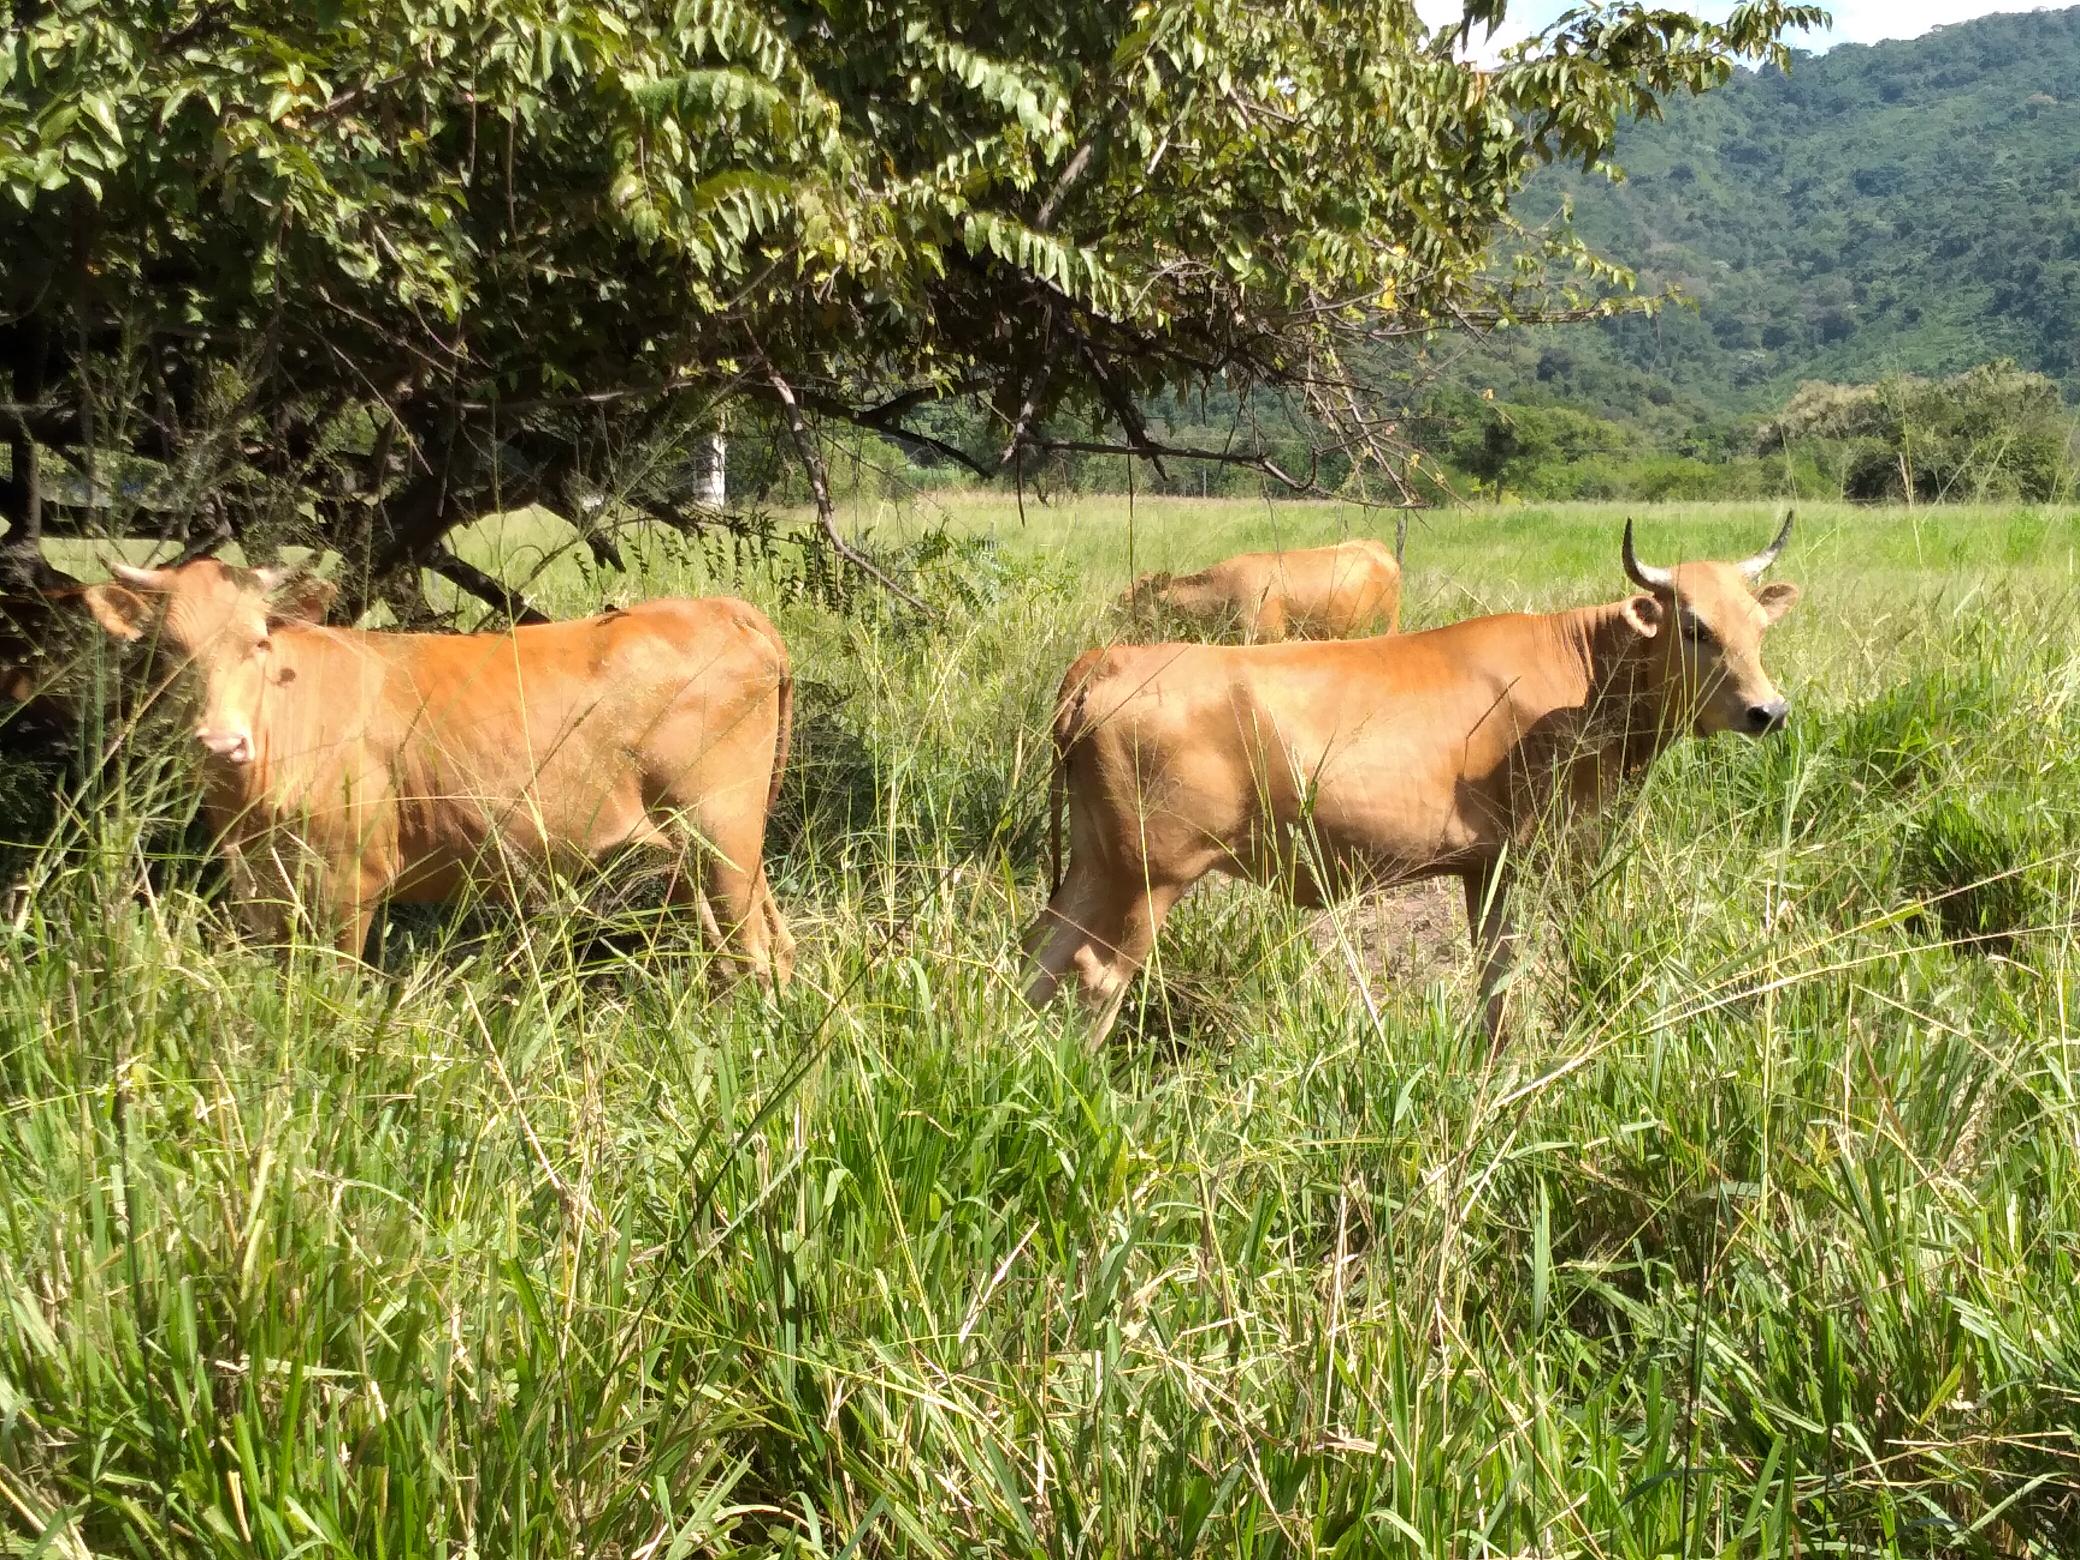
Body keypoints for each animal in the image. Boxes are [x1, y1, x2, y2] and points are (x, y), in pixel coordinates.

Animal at [83, 557, 794, 981]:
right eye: (167, 649)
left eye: (258, 641)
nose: (221, 741)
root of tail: (717, 607)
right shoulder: (258, 886)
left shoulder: (349, 879)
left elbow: (333, 988)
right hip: (710, 849)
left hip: (722, 829)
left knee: (757, 949)